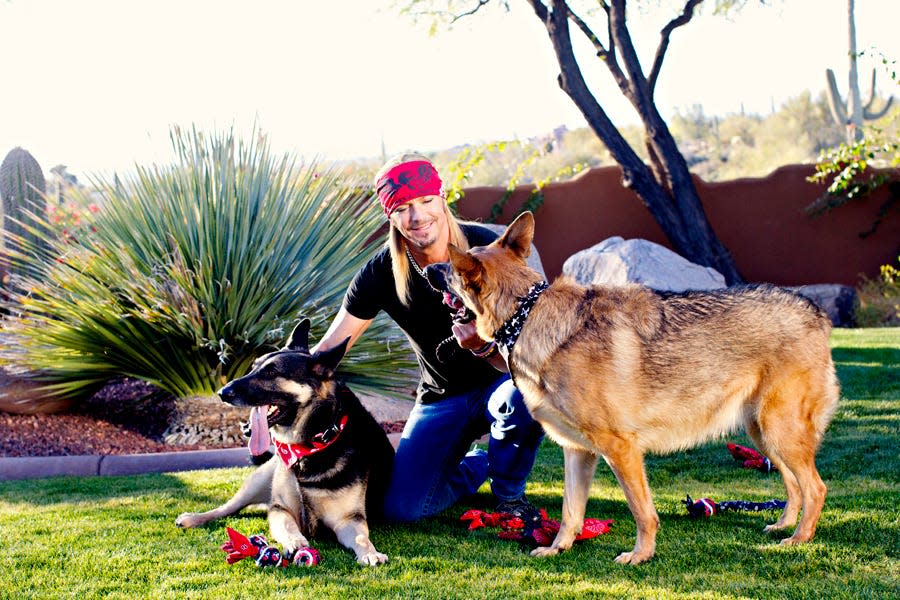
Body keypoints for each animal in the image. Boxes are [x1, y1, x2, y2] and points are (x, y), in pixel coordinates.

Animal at [176, 318, 394, 568]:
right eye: (254, 367)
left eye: (272, 372)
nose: (222, 392)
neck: (309, 446)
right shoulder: (280, 508)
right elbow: (288, 526)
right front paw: (295, 542)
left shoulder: (348, 519)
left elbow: (361, 538)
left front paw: (370, 553)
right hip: (256, 483)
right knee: (226, 508)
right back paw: (193, 518)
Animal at [426, 213, 840, 564]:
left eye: (449, 271)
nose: (429, 267)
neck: (526, 317)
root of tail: (815, 311)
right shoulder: (577, 452)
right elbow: (570, 513)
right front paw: (558, 548)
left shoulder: (621, 449)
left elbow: (643, 512)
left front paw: (640, 556)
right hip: (764, 435)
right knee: (794, 487)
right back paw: (783, 526)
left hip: (778, 433)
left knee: (815, 488)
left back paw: (798, 539)